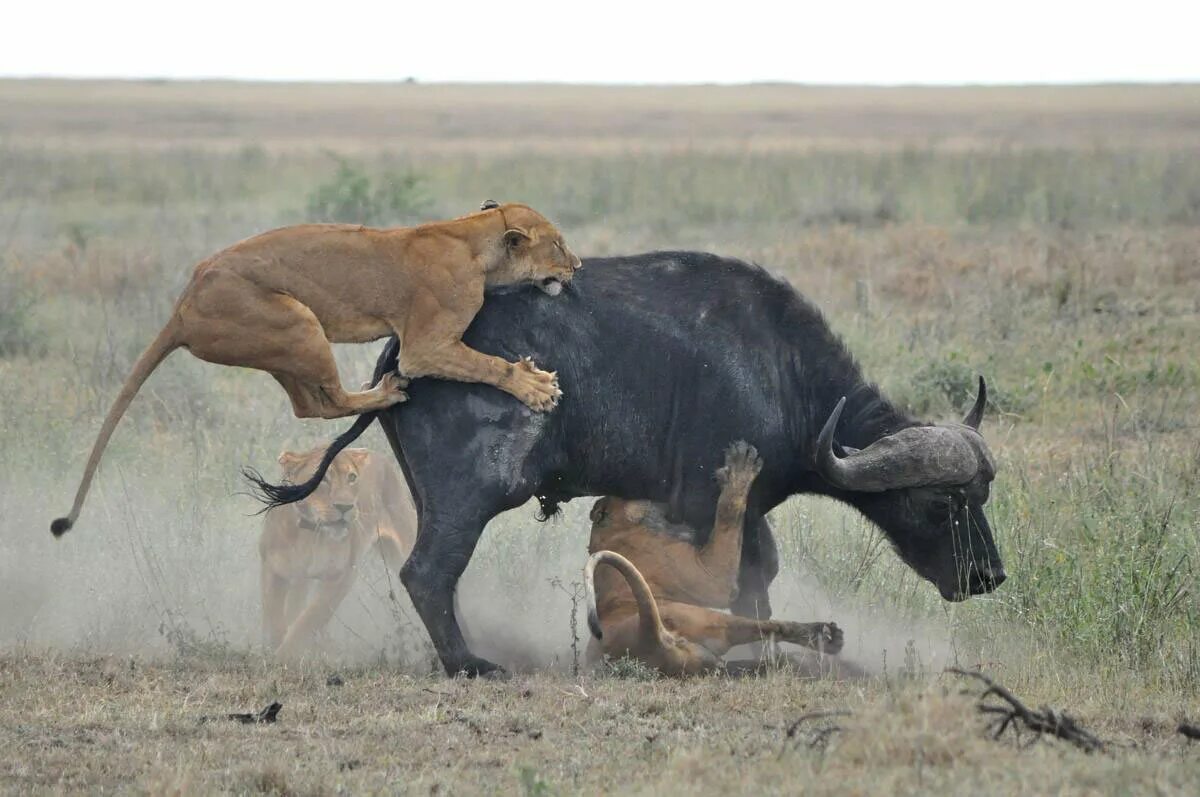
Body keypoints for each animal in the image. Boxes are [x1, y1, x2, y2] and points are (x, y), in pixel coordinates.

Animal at [250, 252, 1003, 676]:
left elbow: (760, 575)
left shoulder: (749, 507)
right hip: (474, 493)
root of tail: (399, 359)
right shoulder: (709, 503)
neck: (779, 374)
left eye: (982, 497)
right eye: (940, 502)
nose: (989, 576)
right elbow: (743, 577)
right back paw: (469, 664)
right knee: (428, 572)